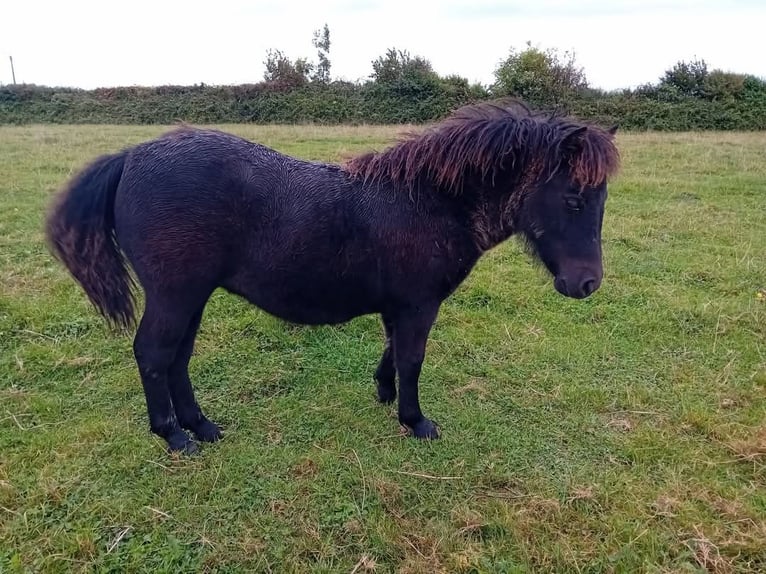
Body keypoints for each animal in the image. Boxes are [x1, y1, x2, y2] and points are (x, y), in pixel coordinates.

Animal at [46, 102, 616, 454]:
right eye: (574, 198)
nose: (587, 283)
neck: (431, 202)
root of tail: (130, 157)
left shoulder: (401, 305)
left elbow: (393, 352)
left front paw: (384, 393)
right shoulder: (418, 304)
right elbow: (412, 359)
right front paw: (416, 421)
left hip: (192, 296)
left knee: (176, 357)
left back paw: (201, 426)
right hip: (175, 294)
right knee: (153, 354)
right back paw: (173, 435)